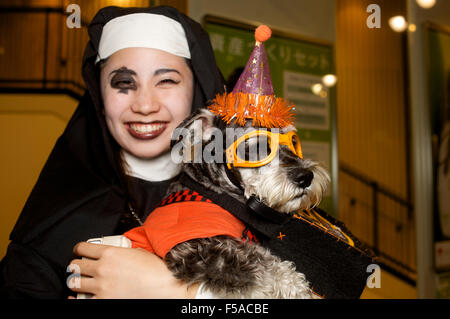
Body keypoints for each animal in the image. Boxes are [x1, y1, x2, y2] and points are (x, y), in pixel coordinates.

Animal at [160, 109, 328, 298]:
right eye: (257, 147)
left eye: (293, 142)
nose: (305, 177)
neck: (216, 195)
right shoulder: (197, 247)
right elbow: (259, 263)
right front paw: (295, 286)